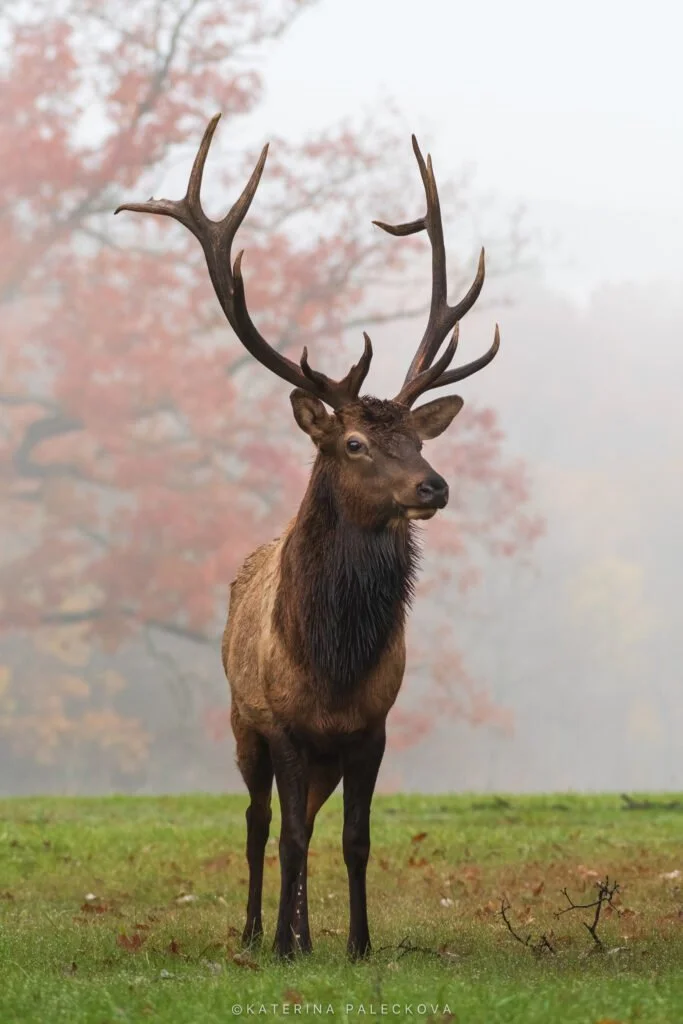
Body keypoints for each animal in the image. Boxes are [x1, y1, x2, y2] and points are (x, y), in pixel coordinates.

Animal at [115, 113, 500, 959]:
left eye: (417, 440)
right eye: (353, 444)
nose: (434, 487)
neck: (332, 662)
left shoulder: (372, 728)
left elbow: (353, 839)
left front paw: (354, 944)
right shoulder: (283, 726)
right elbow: (288, 836)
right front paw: (291, 943)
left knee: (310, 824)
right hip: (240, 725)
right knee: (260, 824)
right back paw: (261, 932)